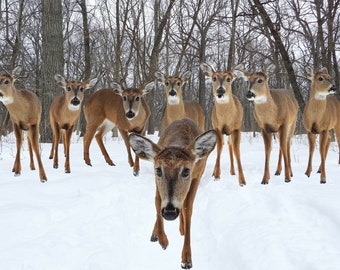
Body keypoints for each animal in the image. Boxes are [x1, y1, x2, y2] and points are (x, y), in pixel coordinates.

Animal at [129, 118, 216, 270]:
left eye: (186, 171)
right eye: (158, 170)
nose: (170, 212)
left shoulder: (196, 177)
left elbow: (188, 209)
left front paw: (186, 258)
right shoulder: (157, 182)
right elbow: (157, 201)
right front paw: (163, 240)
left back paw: (181, 228)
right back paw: (156, 234)